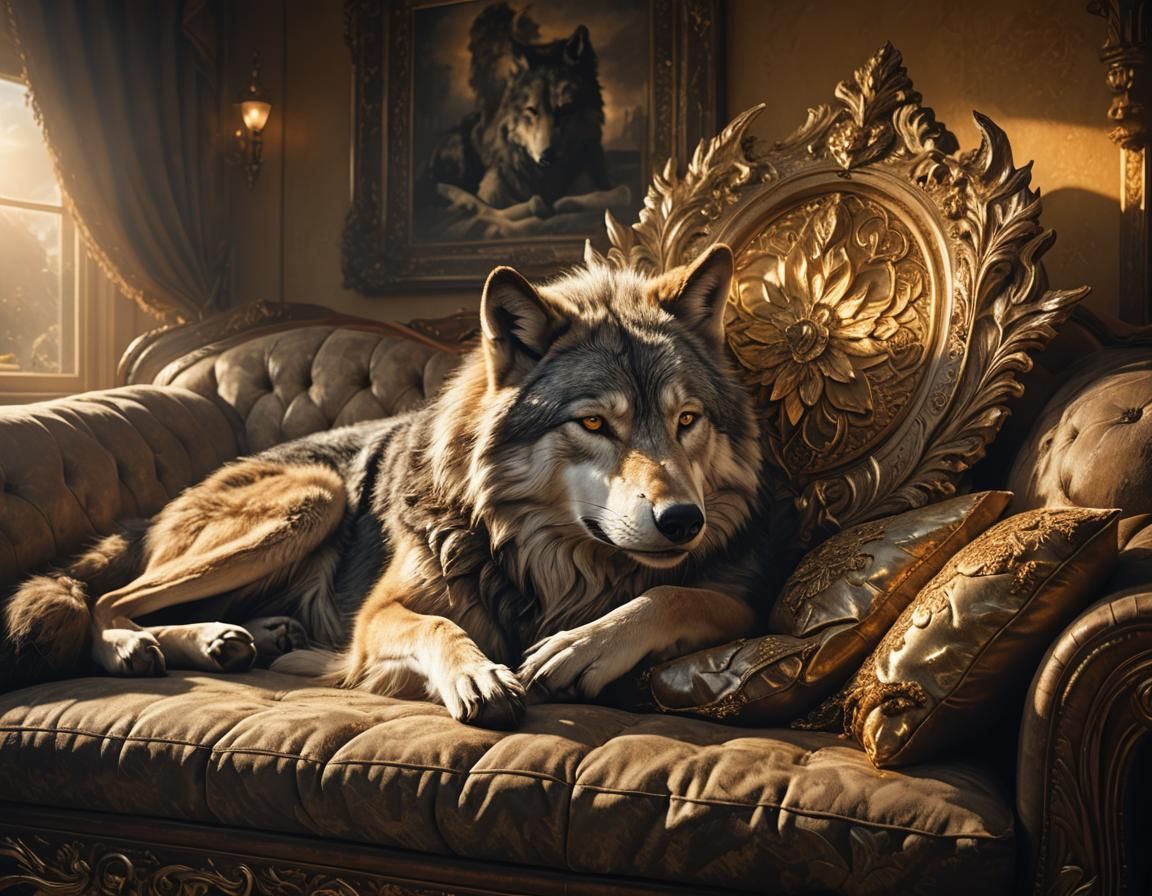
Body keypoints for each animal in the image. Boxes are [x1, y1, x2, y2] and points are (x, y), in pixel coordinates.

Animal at [1, 246, 765, 728]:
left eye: (687, 420)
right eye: (596, 422)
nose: (683, 521)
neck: (546, 559)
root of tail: (158, 508)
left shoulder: (736, 597)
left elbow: (675, 595)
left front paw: (581, 645)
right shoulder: (378, 617)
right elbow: (439, 625)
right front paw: (480, 674)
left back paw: (242, 637)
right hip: (313, 497)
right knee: (109, 598)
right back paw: (141, 644)